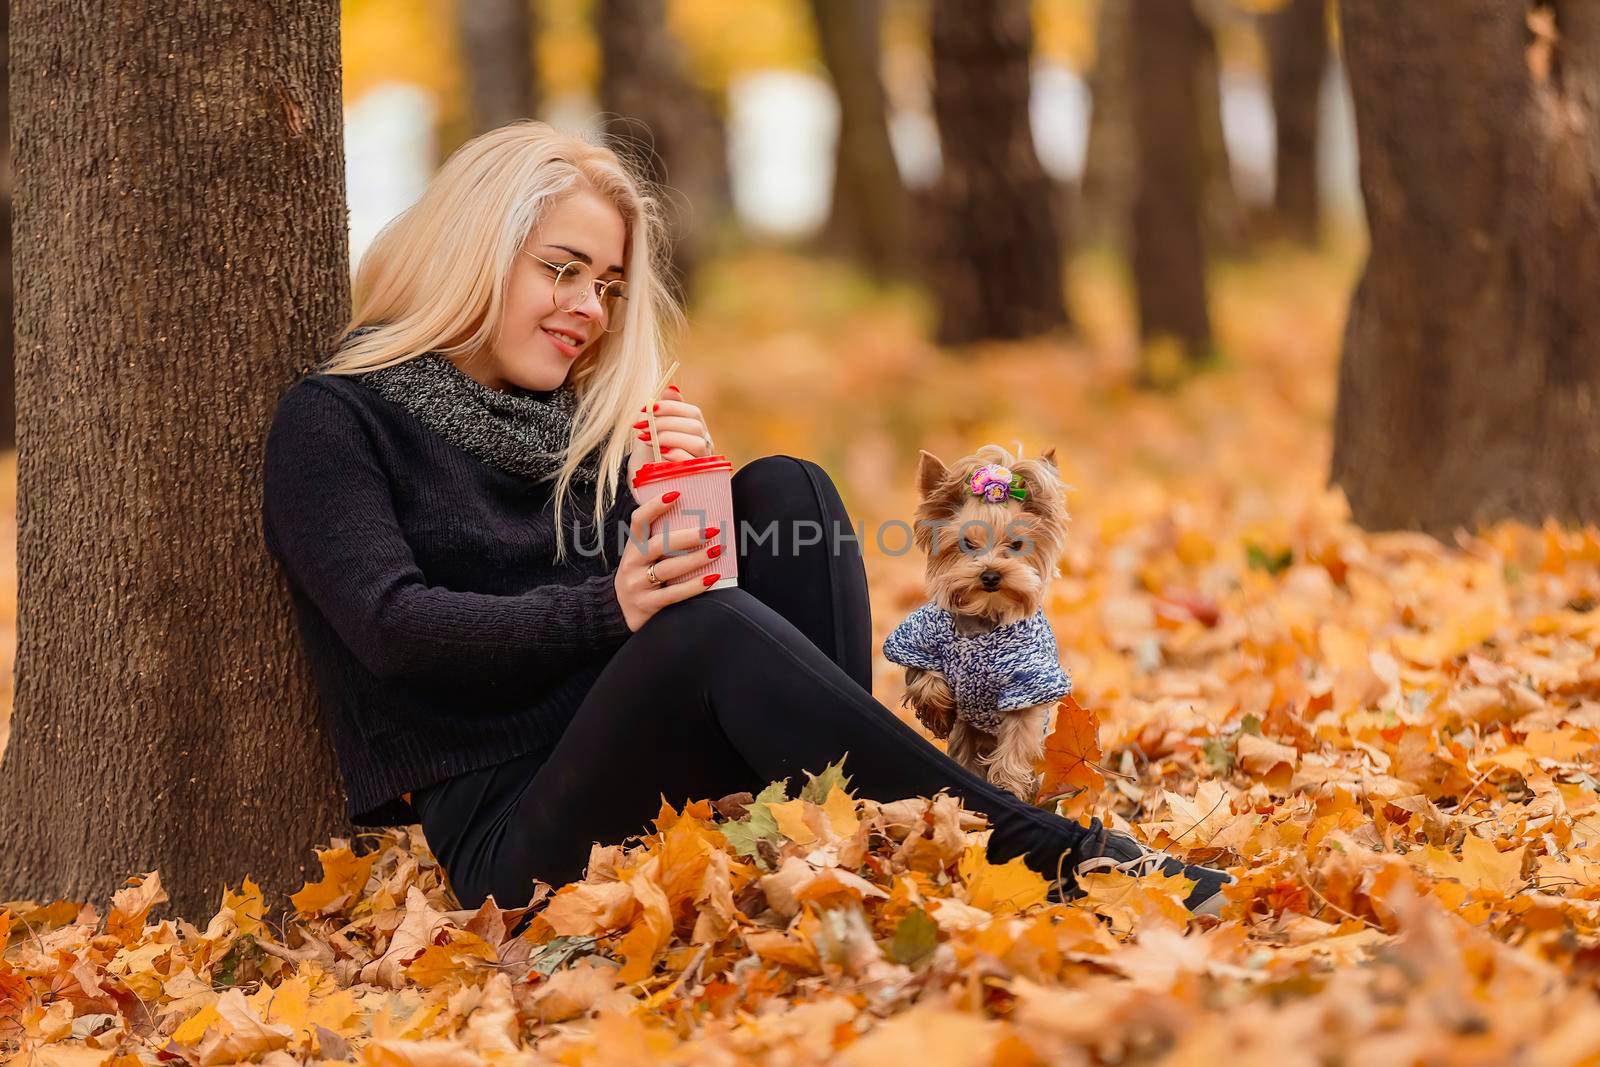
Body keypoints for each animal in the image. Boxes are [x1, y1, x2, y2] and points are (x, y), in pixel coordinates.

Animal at [889, 444, 1075, 799]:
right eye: (966, 544)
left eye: (1016, 545)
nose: (990, 575)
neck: (982, 623)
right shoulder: (919, 637)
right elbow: (924, 678)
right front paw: (937, 713)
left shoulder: (1027, 684)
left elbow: (1017, 739)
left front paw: (1008, 785)